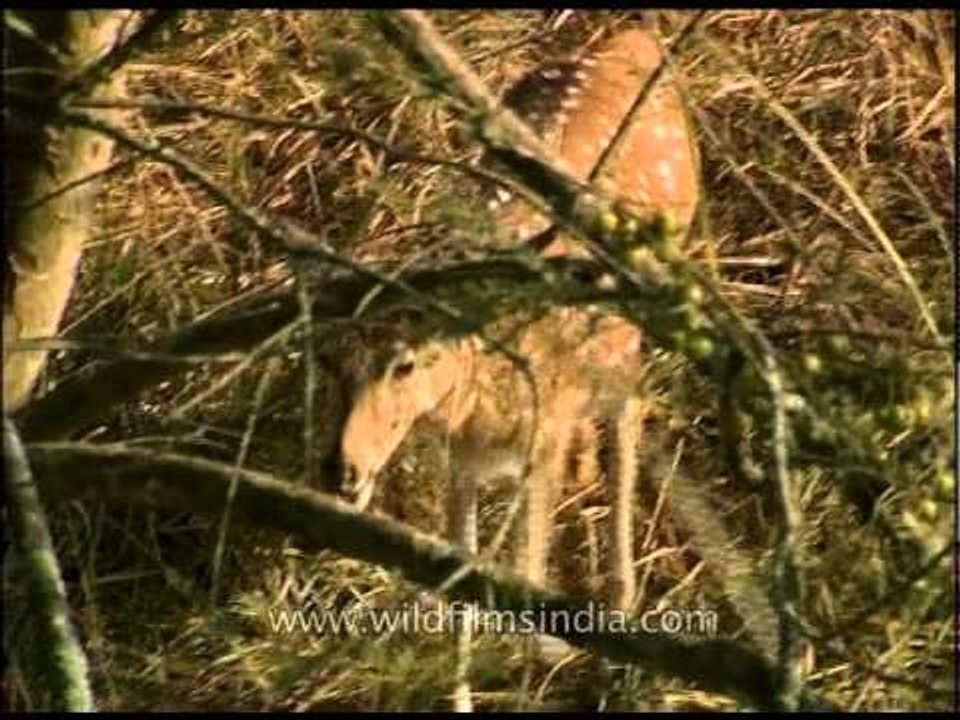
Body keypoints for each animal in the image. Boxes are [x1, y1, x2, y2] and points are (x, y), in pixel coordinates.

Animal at [329, 24, 700, 710]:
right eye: (329, 359)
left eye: (405, 364)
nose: (342, 471)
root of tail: (638, 38)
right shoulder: (462, 457)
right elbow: (462, 579)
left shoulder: (541, 434)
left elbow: (524, 573)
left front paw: (549, 657)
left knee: (630, 415)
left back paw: (622, 604)